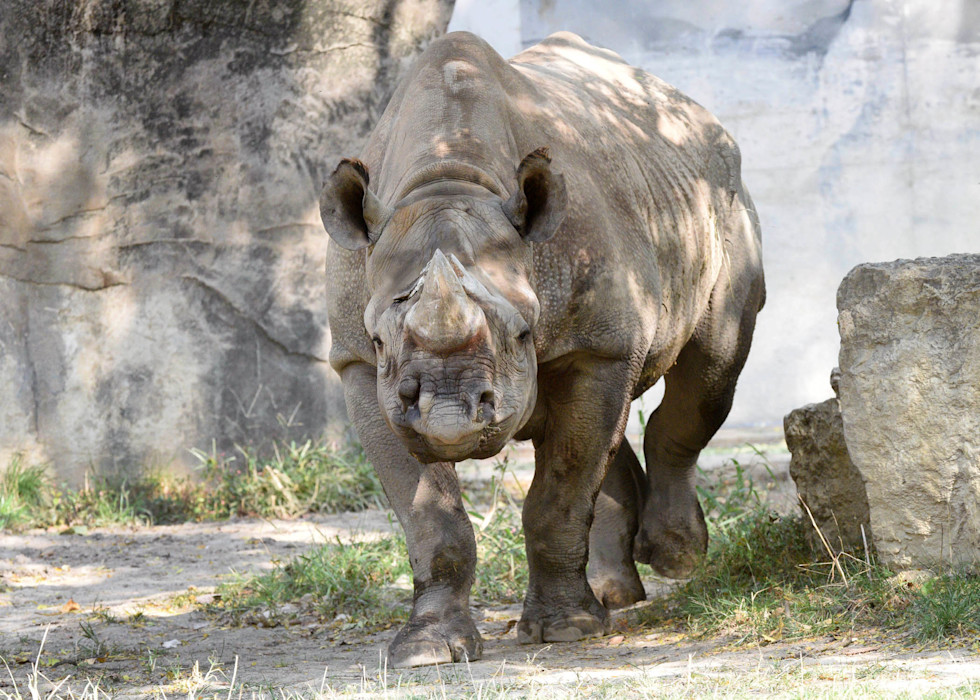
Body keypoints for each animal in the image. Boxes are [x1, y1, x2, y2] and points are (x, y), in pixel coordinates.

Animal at [321, 31, 764, 667]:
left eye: (523, 334)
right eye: (381, 339)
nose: (449, 419)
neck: (449, 178)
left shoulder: (596, 348)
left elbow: (560, 493)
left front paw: (566, 631)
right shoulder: (359, 365)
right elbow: (430, 519)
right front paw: (427, 650)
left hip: (721, 198)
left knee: (709, 373)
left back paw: (676, 558)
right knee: (607, 426)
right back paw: (615, 593)